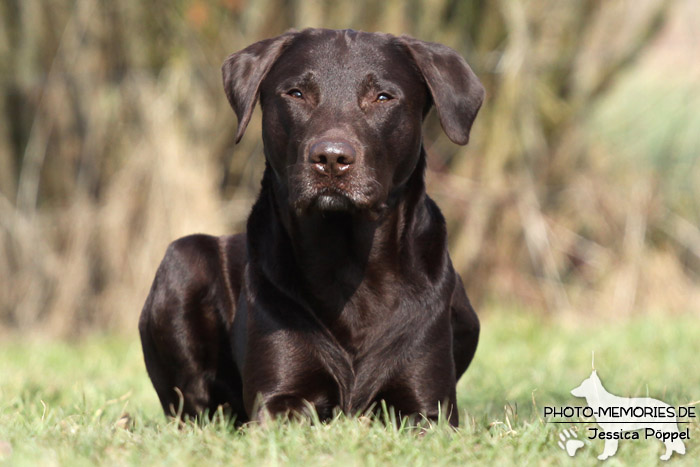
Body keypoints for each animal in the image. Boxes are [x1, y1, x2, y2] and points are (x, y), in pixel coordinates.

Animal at [139, 28, 484, 428]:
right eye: (296, 93)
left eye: (383, 97)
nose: (331, 158)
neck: (346, 260)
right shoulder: (278, 396)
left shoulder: (429, 409)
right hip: (183, 257)